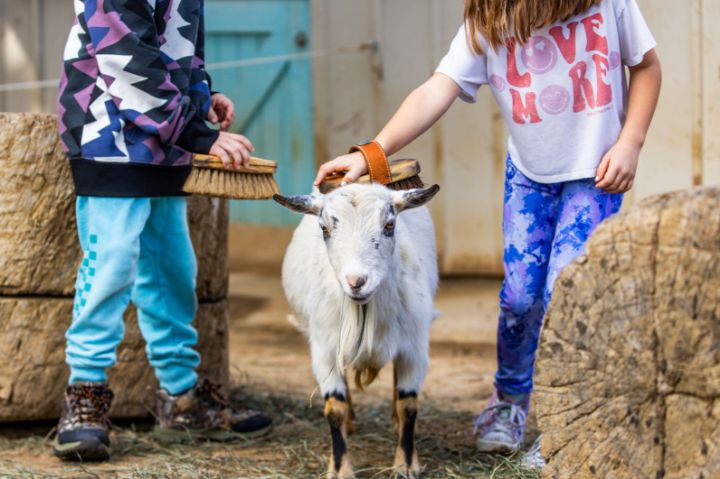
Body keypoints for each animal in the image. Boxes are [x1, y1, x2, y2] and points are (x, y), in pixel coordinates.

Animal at [274, 183, 440, 479]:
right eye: (324, 229)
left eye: (389, 225)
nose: (356, 282)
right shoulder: (324, 350)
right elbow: (334, 409)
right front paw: (340, 469)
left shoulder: (414, 346)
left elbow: (408, 404)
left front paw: (406, 464)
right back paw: (351, 424)